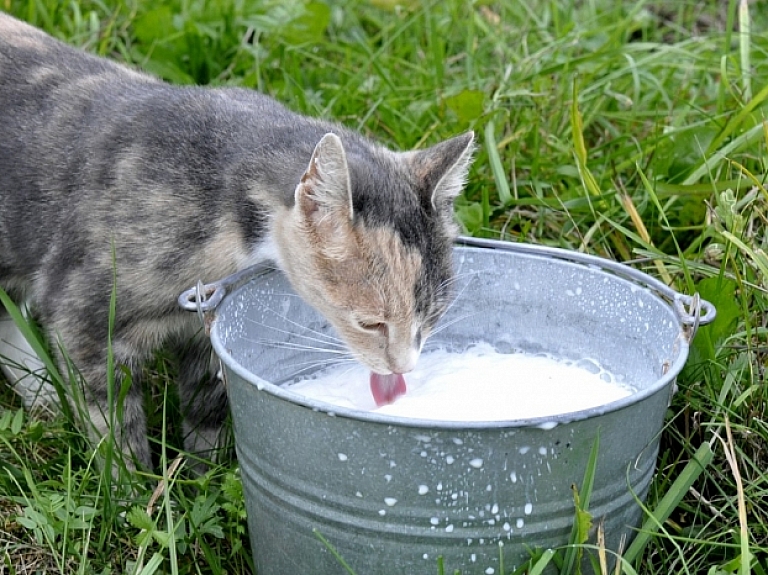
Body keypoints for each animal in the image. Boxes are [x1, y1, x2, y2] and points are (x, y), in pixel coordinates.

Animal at [0, 12, 474, 472]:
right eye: (370, 323)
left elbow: (205, 411)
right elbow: (113, 424)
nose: (404, 368)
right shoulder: (84, 313)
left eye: (432, 317)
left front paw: (203, 474)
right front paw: (133, 489)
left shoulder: (207, 333)